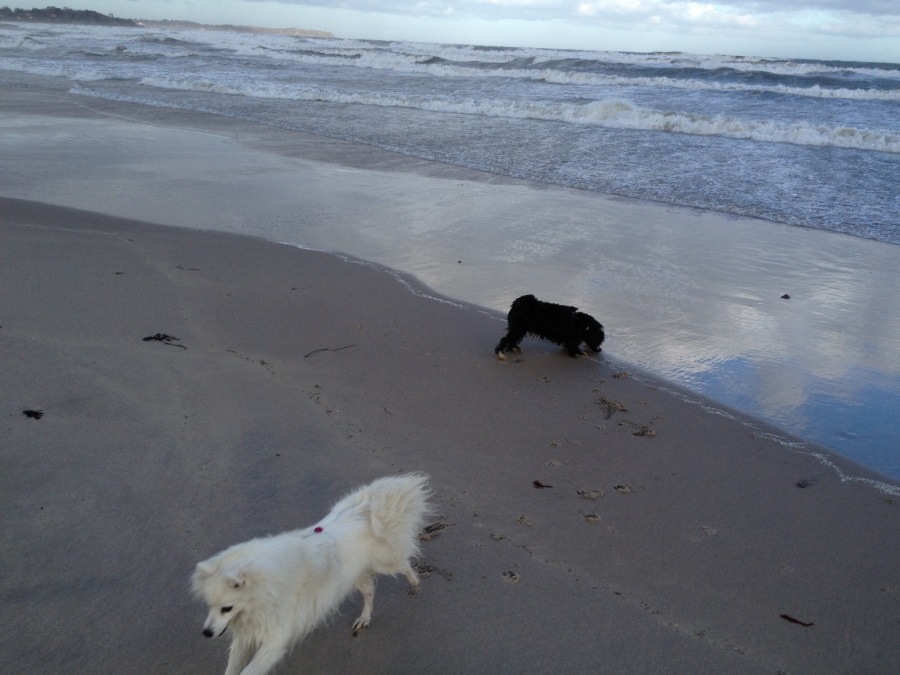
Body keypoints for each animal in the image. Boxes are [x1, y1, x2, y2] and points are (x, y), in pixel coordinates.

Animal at [192, 473, 431, 675]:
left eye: (227, 608)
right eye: (209, 606)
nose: (206, 633)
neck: (262, 593)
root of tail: (363, 510)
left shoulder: (274, 640)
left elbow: (249, 671)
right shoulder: (246, 637)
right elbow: (233, 666)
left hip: (384, 564)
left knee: (404, 565)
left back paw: (415, 582)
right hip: (353, 576)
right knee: (370, 593)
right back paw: (364, 618)